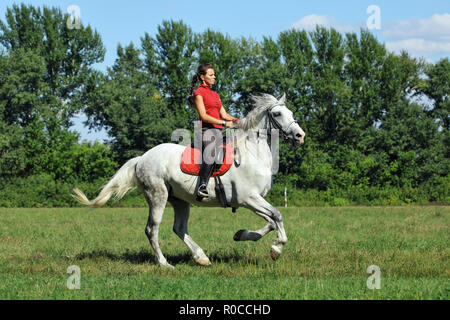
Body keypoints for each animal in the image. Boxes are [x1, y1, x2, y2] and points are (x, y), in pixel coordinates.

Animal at [74, 93, 306, 268]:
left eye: (291, 113)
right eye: (277, 113)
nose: (300, 136)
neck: (252, 154)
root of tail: (142, 158)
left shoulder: (252, 201)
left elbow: (271, 221)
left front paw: (241, 235)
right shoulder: (249, 198)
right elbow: (277, 216)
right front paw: (277, 249)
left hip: (180, 200)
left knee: (179, 228)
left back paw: (201, 257)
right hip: (157, 196)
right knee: (152, 229)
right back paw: (165, 264)